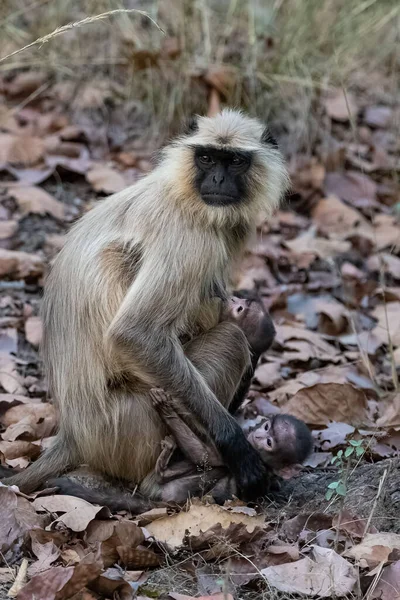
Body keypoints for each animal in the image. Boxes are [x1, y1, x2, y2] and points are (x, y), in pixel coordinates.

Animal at [4, 109, 290, 502]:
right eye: (206, 158)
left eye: (233, 161)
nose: (217, 178)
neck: (184, 193)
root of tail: (74, 435)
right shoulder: (191, 237)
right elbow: (135, 333)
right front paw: (236, 446)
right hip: (131, 425)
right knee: (229, 340)